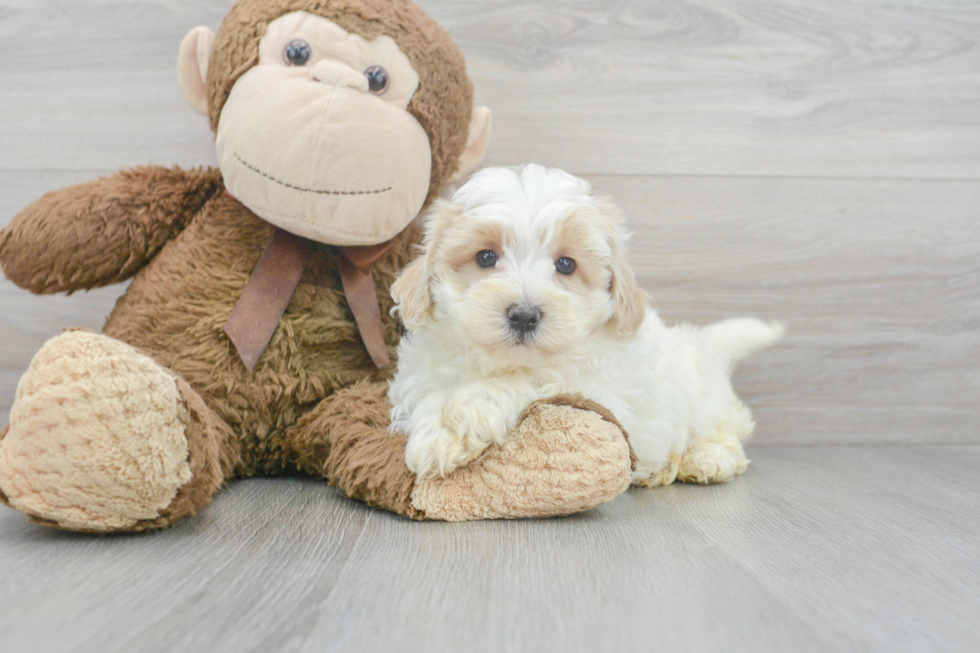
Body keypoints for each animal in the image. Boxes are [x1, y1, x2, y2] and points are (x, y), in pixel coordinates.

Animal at [386, 164, 784, 484]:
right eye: (485, 257)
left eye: (566, 265)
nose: (524, 315)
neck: (500, 361)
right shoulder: (419, 375)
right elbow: (430, 393)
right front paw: (438, 435)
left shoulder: (595, 390)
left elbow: (529, 381)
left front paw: (469, 410)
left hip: (702, 396)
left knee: (722, 429)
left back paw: (706, 459)